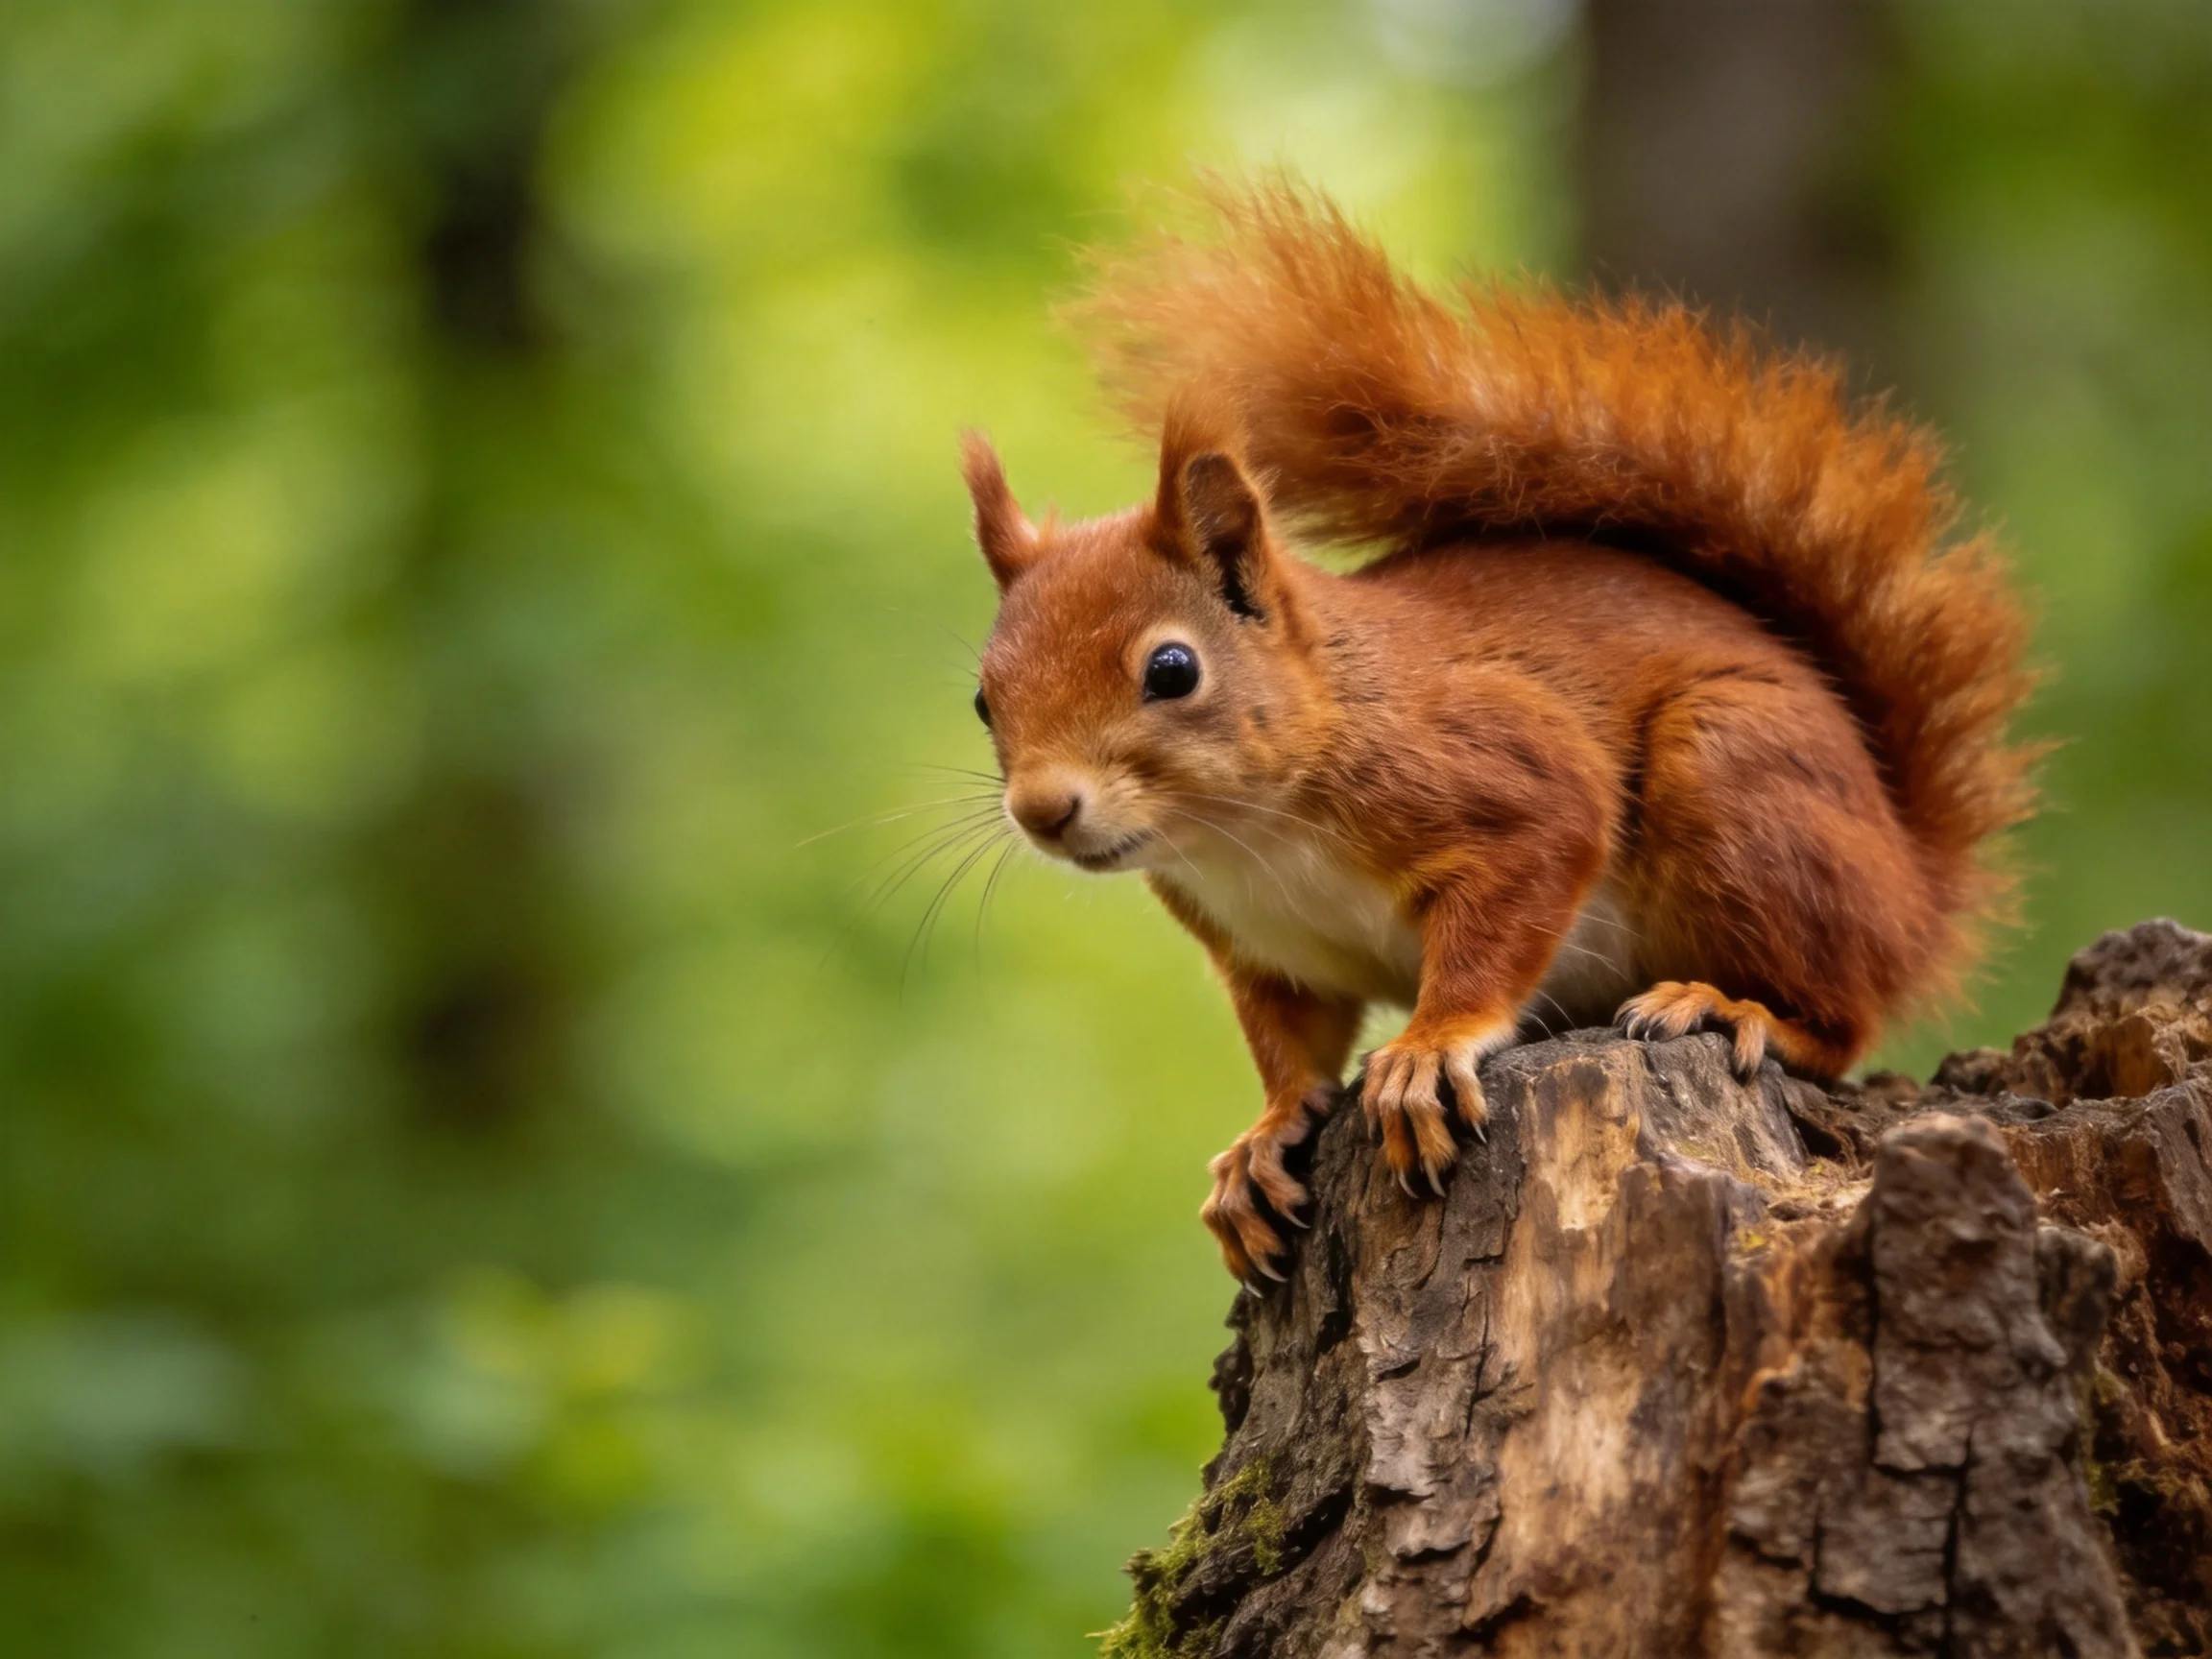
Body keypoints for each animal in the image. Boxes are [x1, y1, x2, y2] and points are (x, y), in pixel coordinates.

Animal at [958, 182, 2036, 1281]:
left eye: (1172, 670)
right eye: (983, 701)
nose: (1043, 811)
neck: (1253, 835)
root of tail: (1914, 889)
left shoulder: (1502, 781)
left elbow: (1510, 905)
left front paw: (1429, 1048)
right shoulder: (1265, 951)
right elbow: (1291, 1044)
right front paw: (1261, 1141)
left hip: (1740, 778)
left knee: (1845, 1018)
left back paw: (1740, 1010)